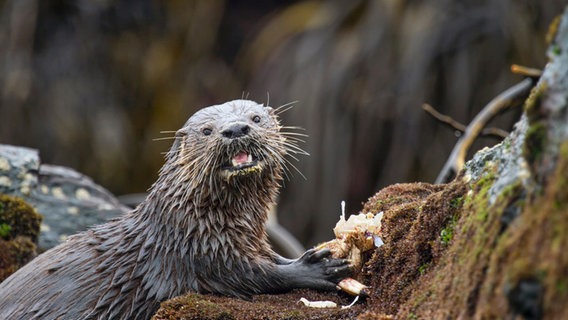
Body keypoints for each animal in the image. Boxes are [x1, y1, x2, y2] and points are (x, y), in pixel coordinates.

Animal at [0, 99, 350, 318]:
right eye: (207, 131)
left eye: (255, 118)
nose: (235, 129)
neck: (194, 219)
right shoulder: (201, 253)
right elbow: (256, 276)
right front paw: (315, 268)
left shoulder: (245, 241)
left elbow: (271, 259)